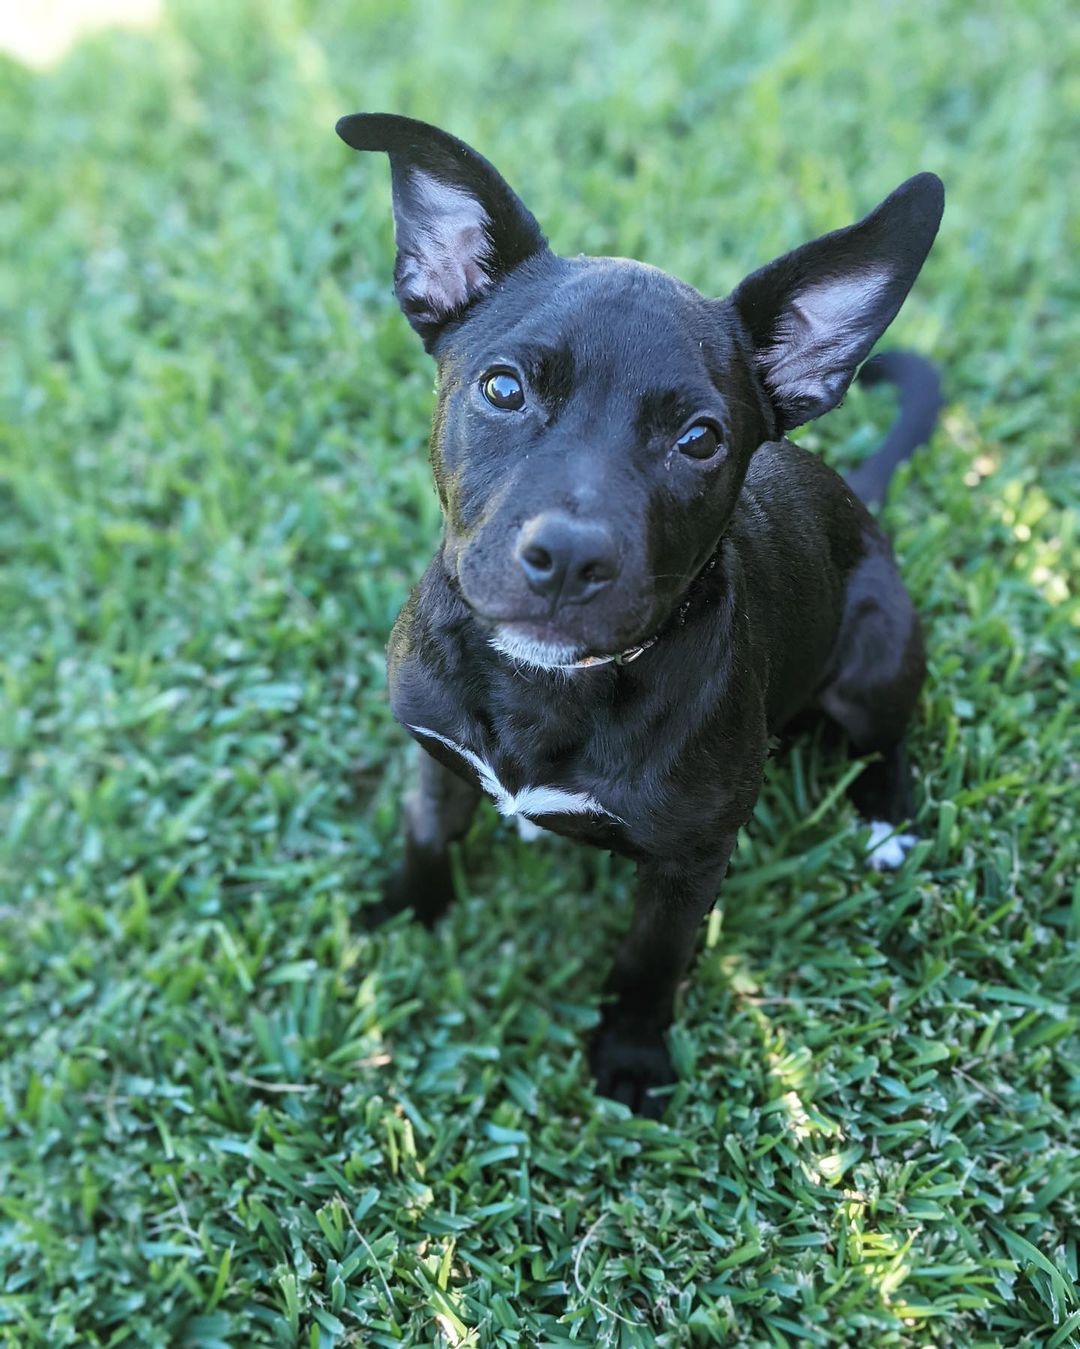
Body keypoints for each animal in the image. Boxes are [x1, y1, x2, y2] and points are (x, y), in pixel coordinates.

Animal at [333, 113, 938, 1116]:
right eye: (503, 388)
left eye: (699, 439)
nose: (570, 558)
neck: (545, 687)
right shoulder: (435, 753)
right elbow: (425, 837)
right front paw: (402, 913)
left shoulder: (689, 863)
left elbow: (650, 961)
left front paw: (629, 1056)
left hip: (877, 663)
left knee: (888, 739)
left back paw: (887, 823)